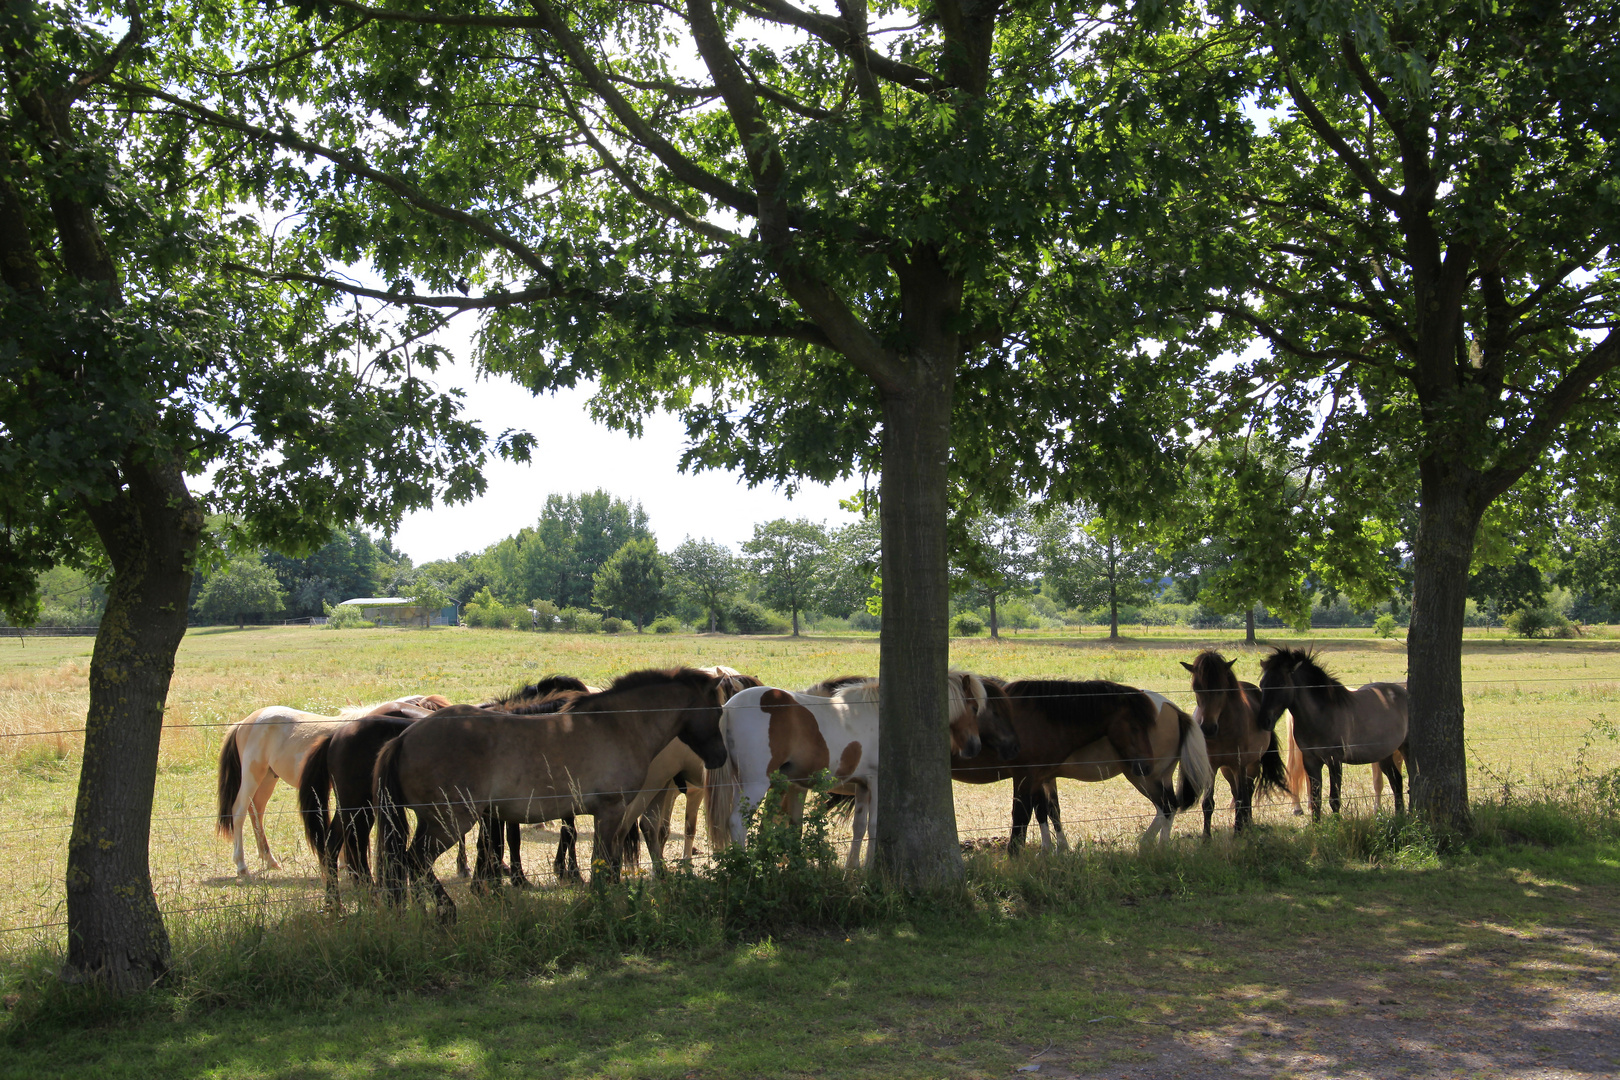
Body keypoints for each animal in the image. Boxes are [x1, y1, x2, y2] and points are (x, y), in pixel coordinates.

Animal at [215, 693, 453, 880]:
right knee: (239, 812)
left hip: (268, 779)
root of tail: (245, 722)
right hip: (252, 775)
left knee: (256, 811)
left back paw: (269, 860)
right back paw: (241, 865)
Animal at [372, 667, 729, 919]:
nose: (720, 758)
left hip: (433, 822)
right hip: (448, 822)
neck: (617, 724)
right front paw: (599, 904)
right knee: (415, 861)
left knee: (407, 864)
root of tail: (403, 739)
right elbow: (601, 862)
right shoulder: (611, 811)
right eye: (719, 711)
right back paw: (446, 911)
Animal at [716, 670, 991, 867]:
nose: (975, 747)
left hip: (740, 785)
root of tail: (729, 708)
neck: (881, 716)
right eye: (974, 707)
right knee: (738, 823)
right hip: (756, 785)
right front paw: (871, 867)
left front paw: (852, 868)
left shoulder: (863, 785)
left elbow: (859, 826)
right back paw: (744, 867)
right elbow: (875, 825)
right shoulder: (878, 782)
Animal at [1179, 650, 1289, 835]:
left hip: (1251, 765)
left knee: (1246, 793)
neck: (1222, 731)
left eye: (1222, 689)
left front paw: (1238, 833)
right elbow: (1208, 803)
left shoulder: (1240, 765)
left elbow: (1241, 800)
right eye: (1196, 688)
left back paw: (1247, 825)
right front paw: (1206, 837)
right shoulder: (1212, 766)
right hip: (1227, 770)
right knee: (1237, 792)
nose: (1208, 728)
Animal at [1250, 650, 1406, 819]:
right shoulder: (1311, 761)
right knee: (1397, 781)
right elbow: (1316, 799)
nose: (1264, 721)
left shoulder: (1334, 761)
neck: (1322, 715)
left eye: (1281, 684)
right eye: (1262, 684)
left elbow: (1334, 799)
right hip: (1385, 756)